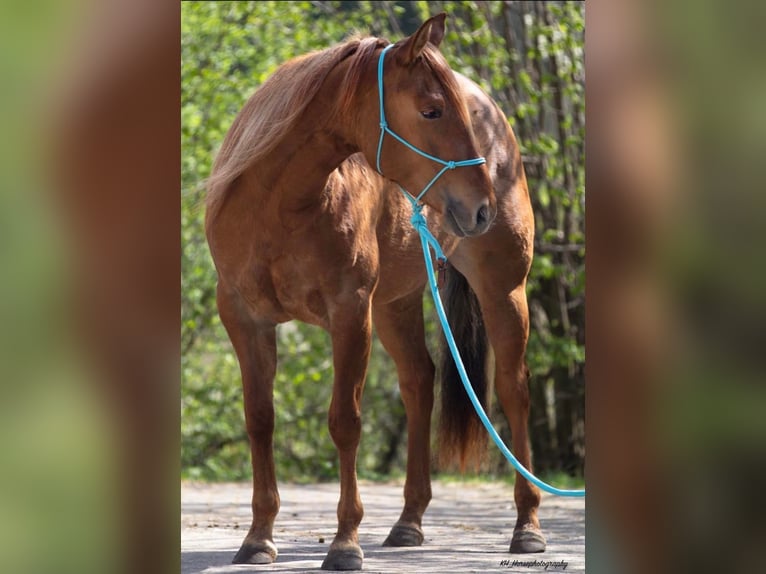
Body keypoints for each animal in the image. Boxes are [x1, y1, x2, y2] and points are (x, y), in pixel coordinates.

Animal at [205, 14, 544, 570]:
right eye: (431, 110)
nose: (481, 208)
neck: (279, 207)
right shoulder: (244, 320)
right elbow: (260, 421)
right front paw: (258, 538)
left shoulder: (350, 313)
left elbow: (345, 421)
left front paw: (345, 543)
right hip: (396, 304)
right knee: (419, 382)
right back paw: (408, 522)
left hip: (502, 290)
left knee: (514, 391)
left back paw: (528, 526)